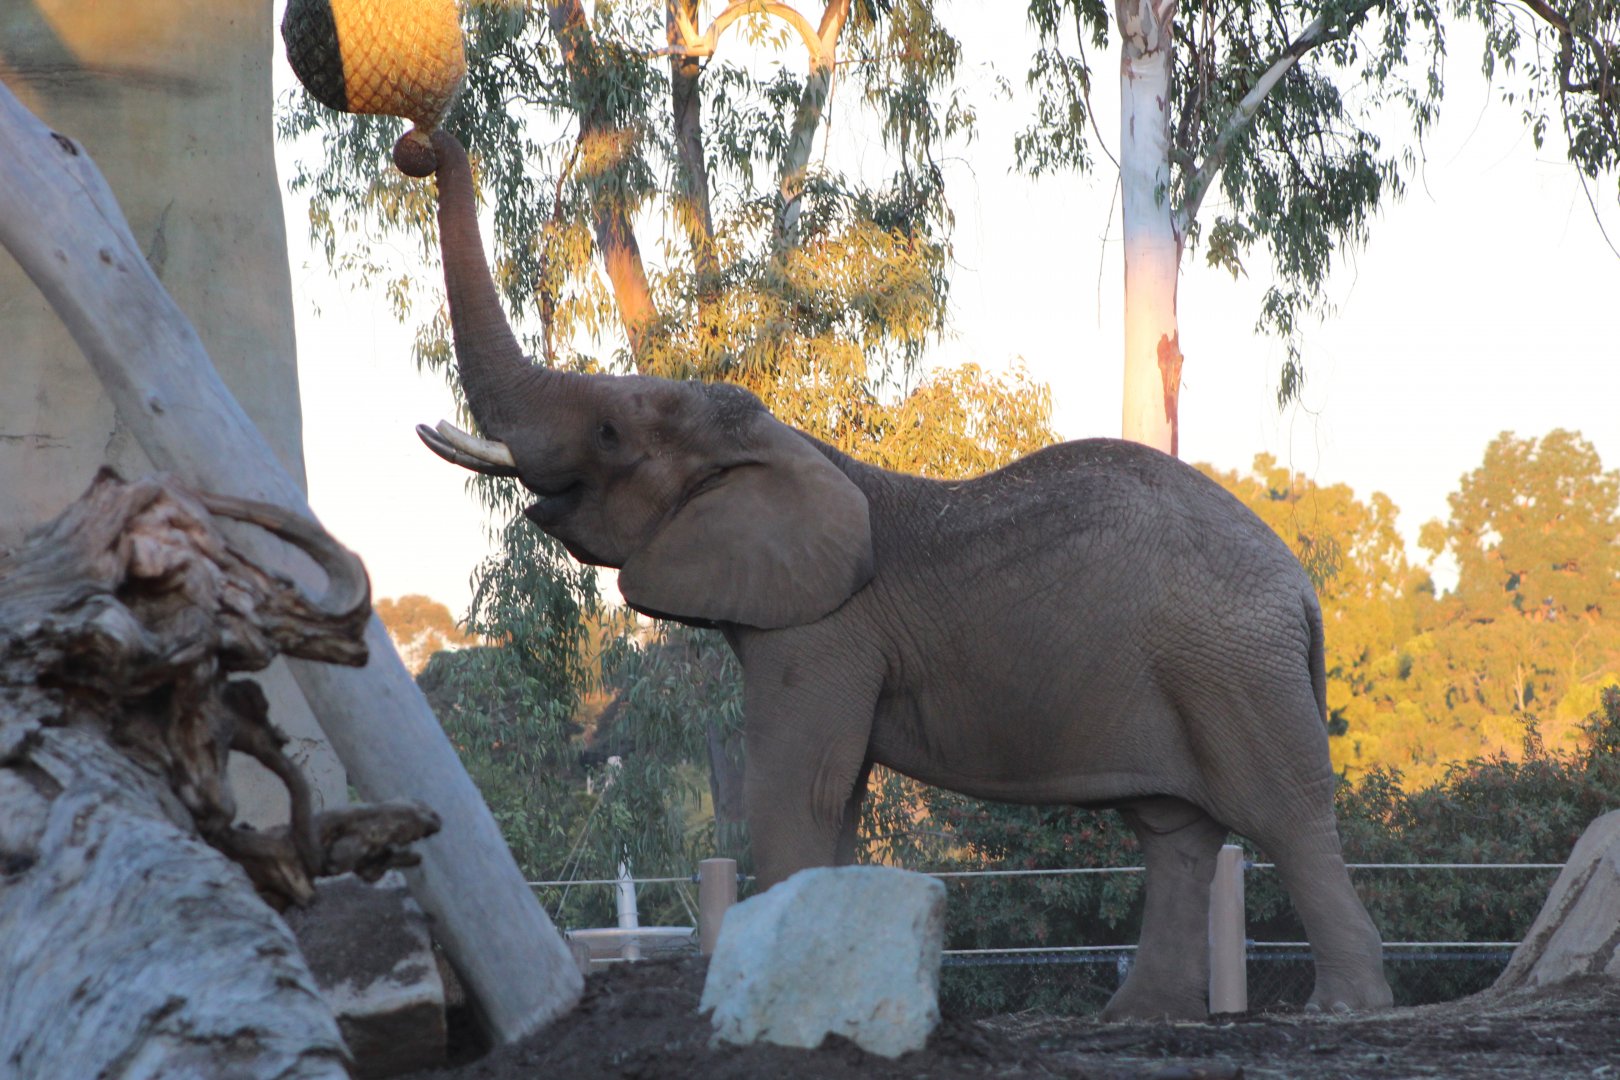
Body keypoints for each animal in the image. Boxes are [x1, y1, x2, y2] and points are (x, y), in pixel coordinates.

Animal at [398, 127, 1393, 1020]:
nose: (418, 147)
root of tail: (1302, 587)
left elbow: (798, 791)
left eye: (611, 435)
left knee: (1285, 816)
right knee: (1174, 834)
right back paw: (1137, 1020)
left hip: (1230, 667)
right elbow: (832, 798)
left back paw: (1341, 1011)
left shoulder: (822, 628)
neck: (794, 443)